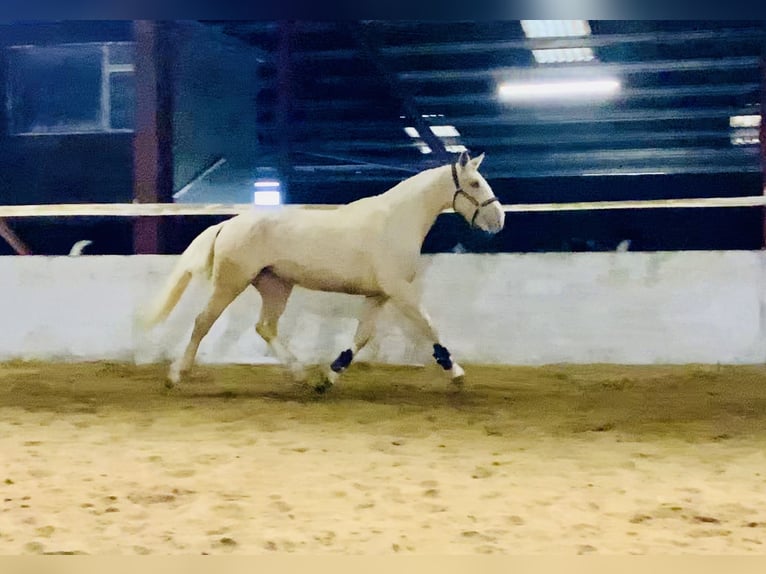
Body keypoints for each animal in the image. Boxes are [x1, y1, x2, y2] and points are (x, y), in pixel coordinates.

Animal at [139, 151, 504, 392]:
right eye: (474, 183)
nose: (498, 220)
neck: (395, 219)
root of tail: (228, 223)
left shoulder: (378, 295)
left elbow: (362, 336)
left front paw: (329, 377)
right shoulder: (399, 290)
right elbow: (428, 326)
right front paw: (456, 372)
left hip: (275, 286)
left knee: (265, 327)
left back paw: (300, 375)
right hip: (231, 283)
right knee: (203, 322)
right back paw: (176, 376)